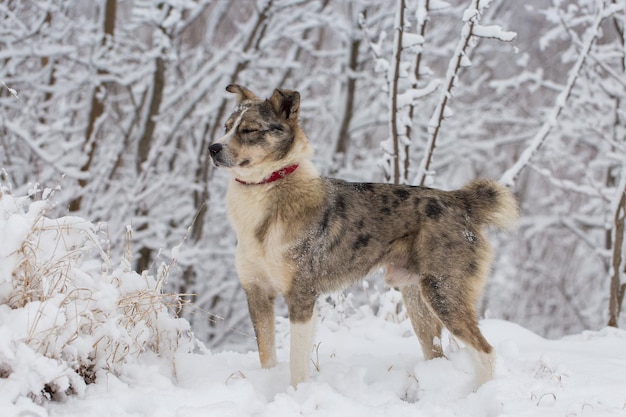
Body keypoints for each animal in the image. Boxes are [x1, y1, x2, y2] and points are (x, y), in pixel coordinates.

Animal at [210, 83, 516, 386]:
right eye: (226, 126)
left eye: (249, 130)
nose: (213, 148)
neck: (266, 188)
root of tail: (460, 201)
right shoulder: (257, 292)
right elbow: (266, 354)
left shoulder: (301, 294)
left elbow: (297, 363)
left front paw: (297, 392)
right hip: (418, 301)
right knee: (437, 353)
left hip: (444, 293)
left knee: (486, 352)